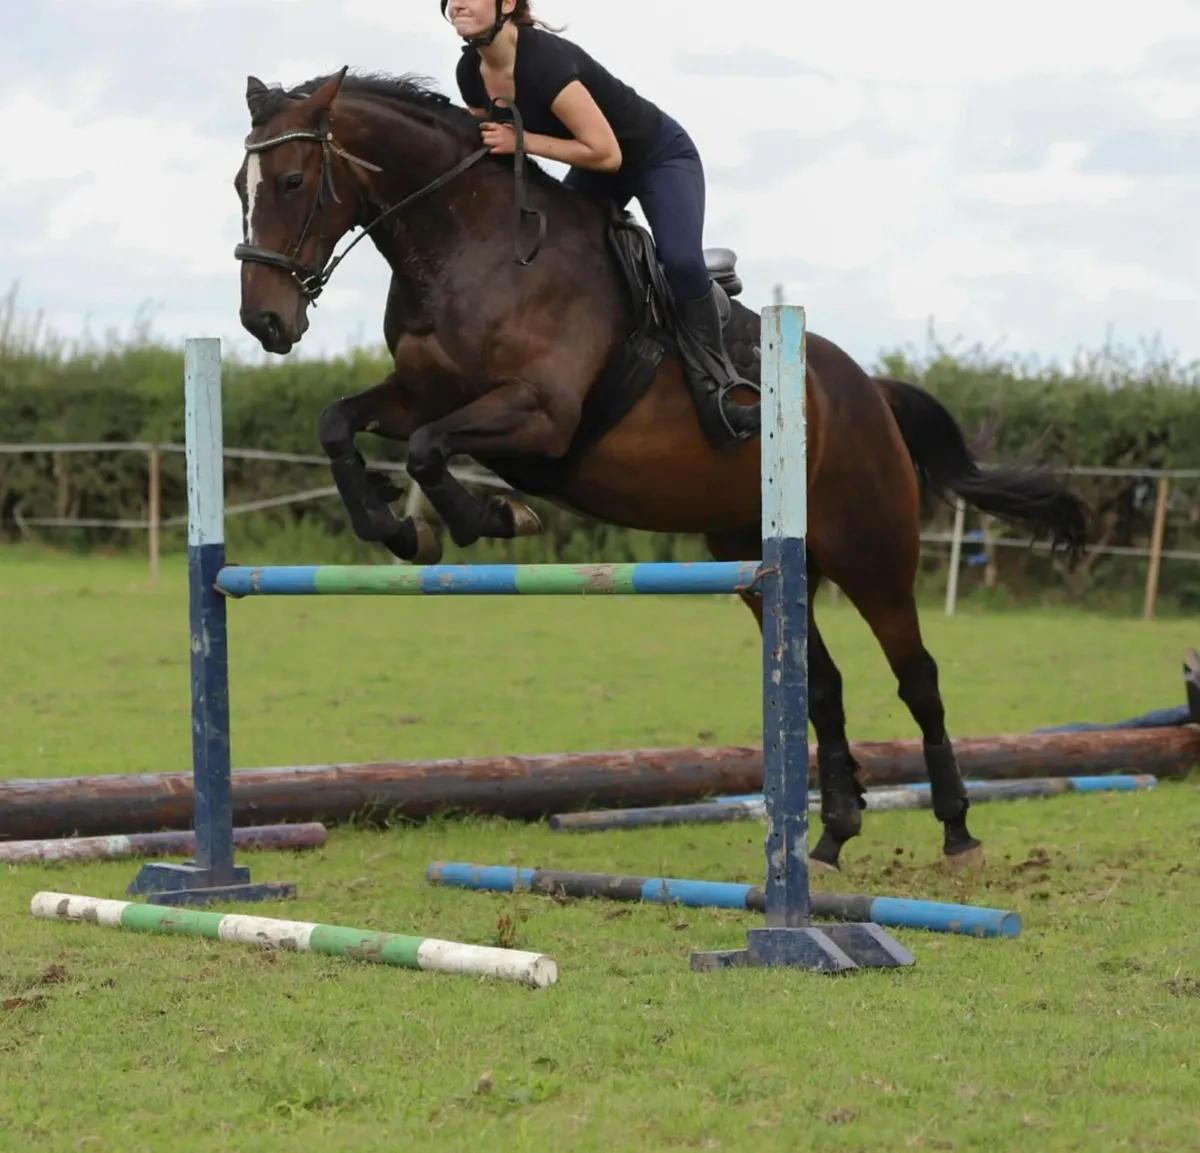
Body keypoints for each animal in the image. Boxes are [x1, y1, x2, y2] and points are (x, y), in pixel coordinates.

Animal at [231, 67, 1091, 873]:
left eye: (293, 182)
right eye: (241, 186)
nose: (265, 320)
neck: (467, 247)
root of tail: (869, 391)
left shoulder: (540, 417)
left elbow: (430, 449)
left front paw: (493, 517)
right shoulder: (416, 395)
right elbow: (339, 423)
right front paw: (402, 529)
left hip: (871, 552)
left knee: (918, 677)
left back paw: (957, 829)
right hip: (761, 563)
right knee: (822, 683)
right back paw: (830, 838)